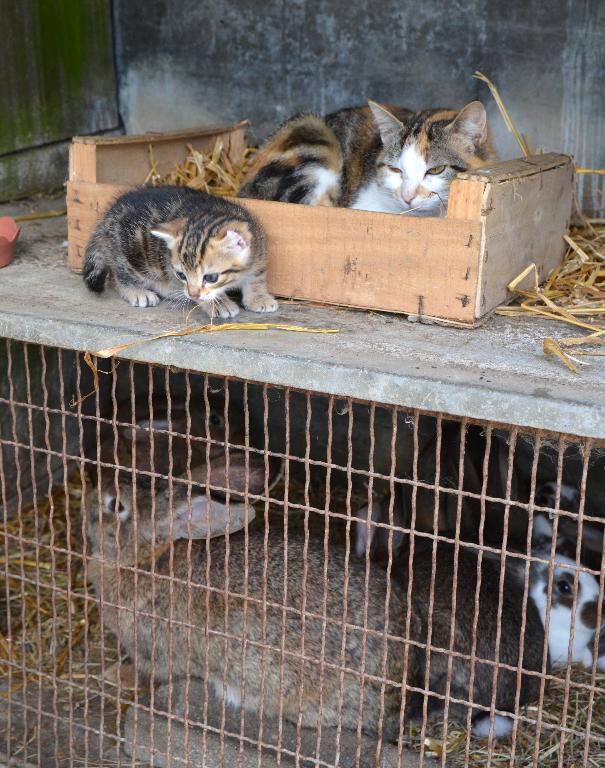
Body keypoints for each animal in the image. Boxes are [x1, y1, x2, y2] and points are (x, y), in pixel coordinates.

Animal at [82, 186, 277, 317]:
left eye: (211, 277)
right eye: (181, 275)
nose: (192, 294)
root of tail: (110, 215)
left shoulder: (259, 250)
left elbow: (256, 277)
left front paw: (259, 297)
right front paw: (218, 303)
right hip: (133, 255)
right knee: (119, 275)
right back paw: (137, 292)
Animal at [82, 479, 409, 742]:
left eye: (116, 505)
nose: (91, 496)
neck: (148, 560)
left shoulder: (155, 653)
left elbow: (147, 675)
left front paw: (114, 675)